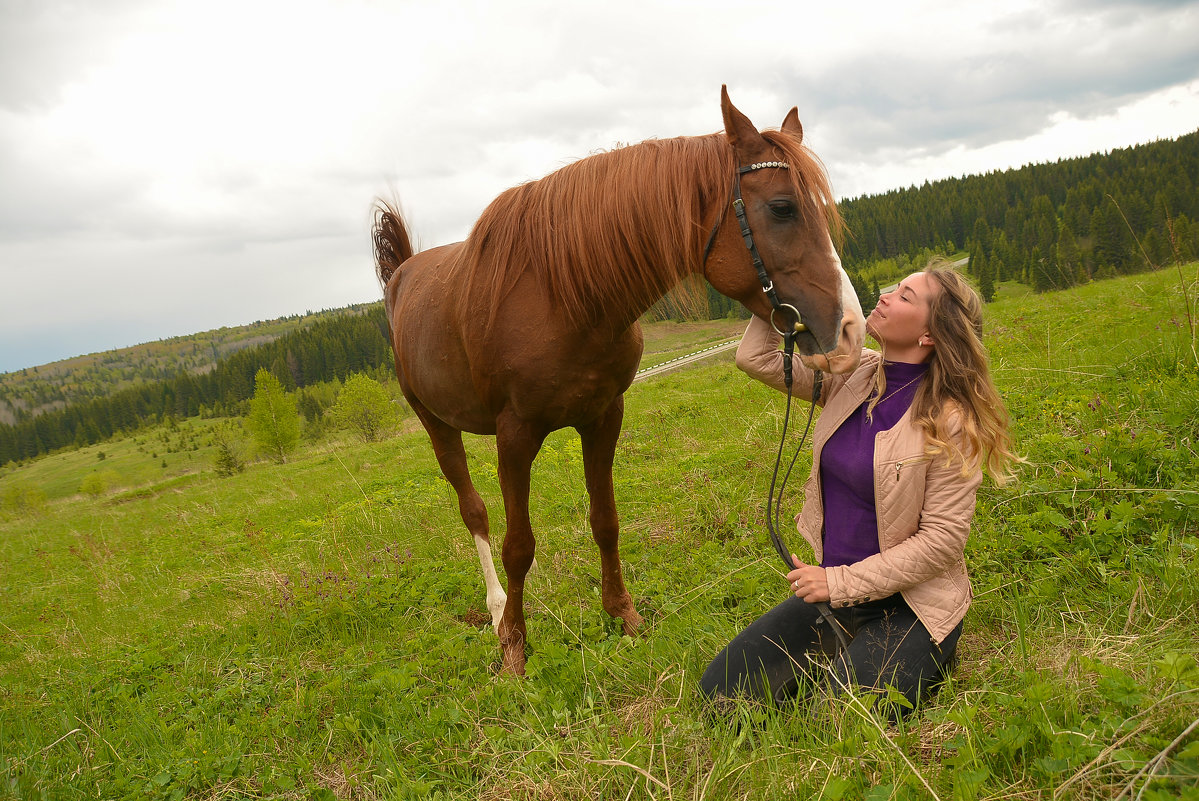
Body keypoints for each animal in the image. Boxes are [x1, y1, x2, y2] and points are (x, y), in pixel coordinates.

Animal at [371, 87, 863, 676]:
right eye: (783, 208)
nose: (851, 330)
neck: (563, 295)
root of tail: (402, 274)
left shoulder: (604, 416)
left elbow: (605, 520)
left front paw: (622, 616)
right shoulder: (515, 436)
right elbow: (519, 545)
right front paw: (514, 646)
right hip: (436, 424)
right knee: (475, 513)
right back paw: (494, 611)